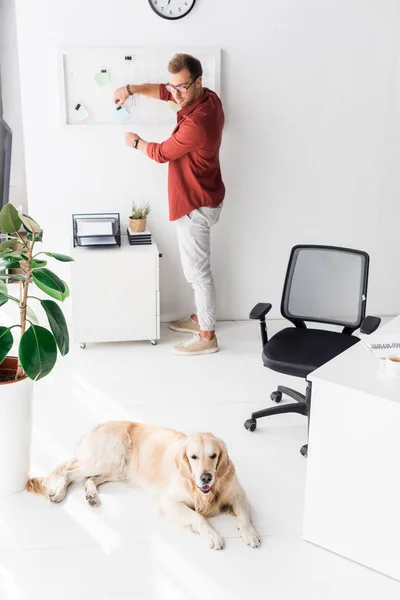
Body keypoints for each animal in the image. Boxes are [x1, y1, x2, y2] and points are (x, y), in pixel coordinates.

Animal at [26, 422, 260, 548]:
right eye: (193, 457)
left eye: (213, 456)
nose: (206, 477)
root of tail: (94, 428)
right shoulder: (170, 502)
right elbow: (199, 518)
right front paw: (213, 536)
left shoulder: (238, 494)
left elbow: (243, 515)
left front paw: (250, 534)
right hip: (106, 459)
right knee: (69, 471)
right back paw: (59, 493)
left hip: (118, 469)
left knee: (88, 479)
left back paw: (91, 496)